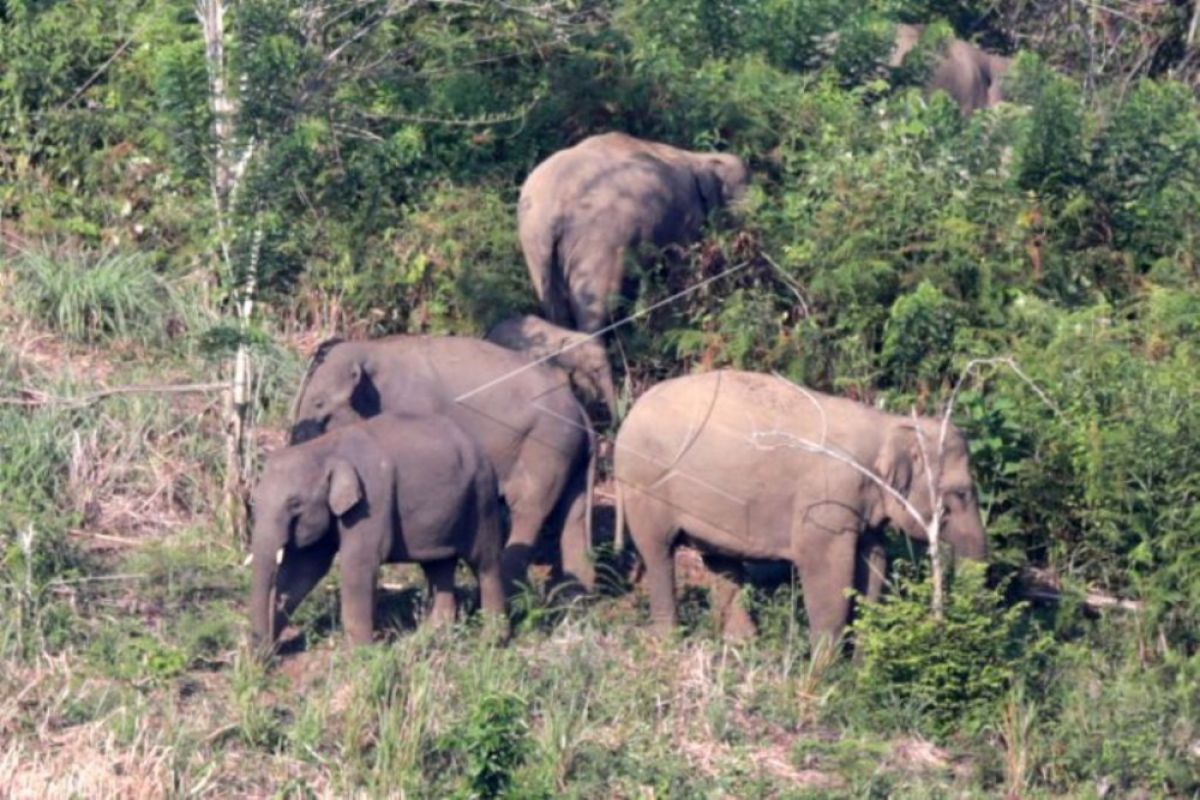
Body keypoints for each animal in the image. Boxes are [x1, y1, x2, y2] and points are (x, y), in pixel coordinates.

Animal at [250, 412, 504, 652]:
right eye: (255, 500)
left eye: (294, 503)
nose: (262, 654)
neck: (325, 447)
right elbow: (304, 569)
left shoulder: (370, 502)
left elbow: (358, 565)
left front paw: (362, 654)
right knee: (438, 566)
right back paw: (428, 637)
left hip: (482, 499)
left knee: (485, 564)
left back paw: (491, 641)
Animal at [286, 335, 595, 592]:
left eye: (319, 404)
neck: (372, 349)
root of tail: (582, 411)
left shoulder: (413, 408)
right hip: (570, 454)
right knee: (574, 516)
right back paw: (576, 596)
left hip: (545, 447)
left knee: (528, 509)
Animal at [518, 133, 748, 333]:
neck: (698, 157)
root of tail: (552, 212)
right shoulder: (686, 219)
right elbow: (681, 269)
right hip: (599, 244)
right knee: (597, 309)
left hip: (535, 248)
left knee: (555, 309)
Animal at [614, 371, 988, 647]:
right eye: (959, 494)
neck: (888, 426)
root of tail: (628, 415)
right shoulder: (826, 500)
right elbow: (826, 570)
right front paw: (825, 674)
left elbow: (873, 563)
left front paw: (859, 664)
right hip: (643, 484)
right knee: (658, 553)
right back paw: (669, 642)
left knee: (720, 559)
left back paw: (742, 644)